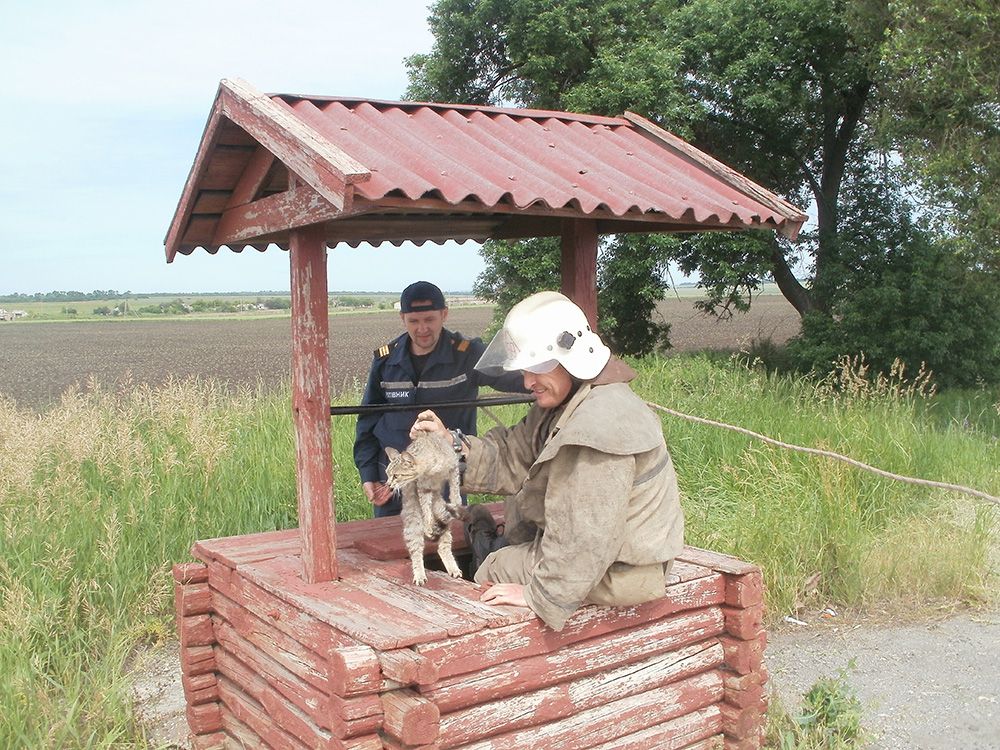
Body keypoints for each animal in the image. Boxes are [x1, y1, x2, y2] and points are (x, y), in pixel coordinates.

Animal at [382, 434, 464, 588]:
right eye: (387, 474)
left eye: (396, 476)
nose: (388, 485)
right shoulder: (423, 487)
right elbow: (425, 508)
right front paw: (427, 525)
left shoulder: (454, 467)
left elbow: (455, 488)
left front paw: (457, 501)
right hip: (413, 525)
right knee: (417, 552)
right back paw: (420, 575)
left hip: (442, 514)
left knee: (443, 546)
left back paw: (453, 568)